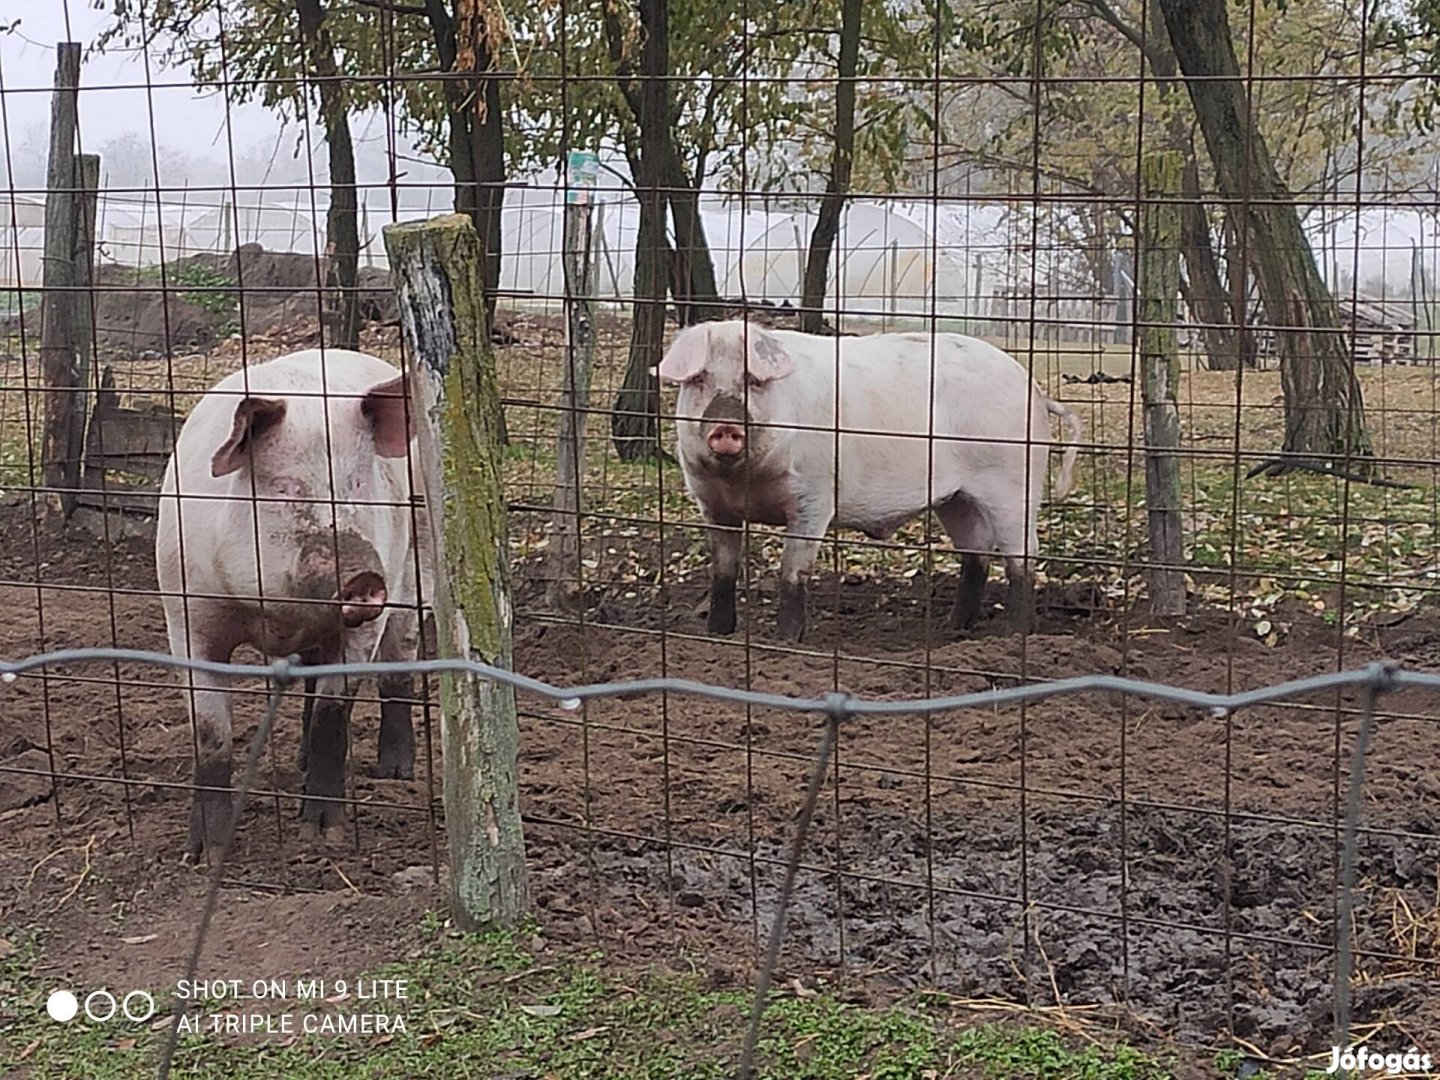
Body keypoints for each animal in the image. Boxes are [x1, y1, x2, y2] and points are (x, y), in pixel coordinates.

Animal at [155, 351, 432, 858]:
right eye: (285, 487)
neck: (277, 613)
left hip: (415, 573)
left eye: (357, 483)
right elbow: (211, 733)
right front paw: (204, 853)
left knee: (398, 668)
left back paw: (395, 772)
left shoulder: (364, 625)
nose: (363, 576)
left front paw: (323, 834)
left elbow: (333, 714)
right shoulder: (187, 615)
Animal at [656, 321, 1082, 642]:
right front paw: (717, 634)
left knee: (1022, 557)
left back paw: (1013, 635)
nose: (725, 425)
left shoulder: (814, 496)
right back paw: (955, 630)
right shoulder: (711, 503)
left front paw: (787, 641)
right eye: (699, 379)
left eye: (753, 381)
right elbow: (724, 570)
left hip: (1014, 482)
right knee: (975, 551)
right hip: (957, 498)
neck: (742, 482)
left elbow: (793, 571)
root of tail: (1035, 390)